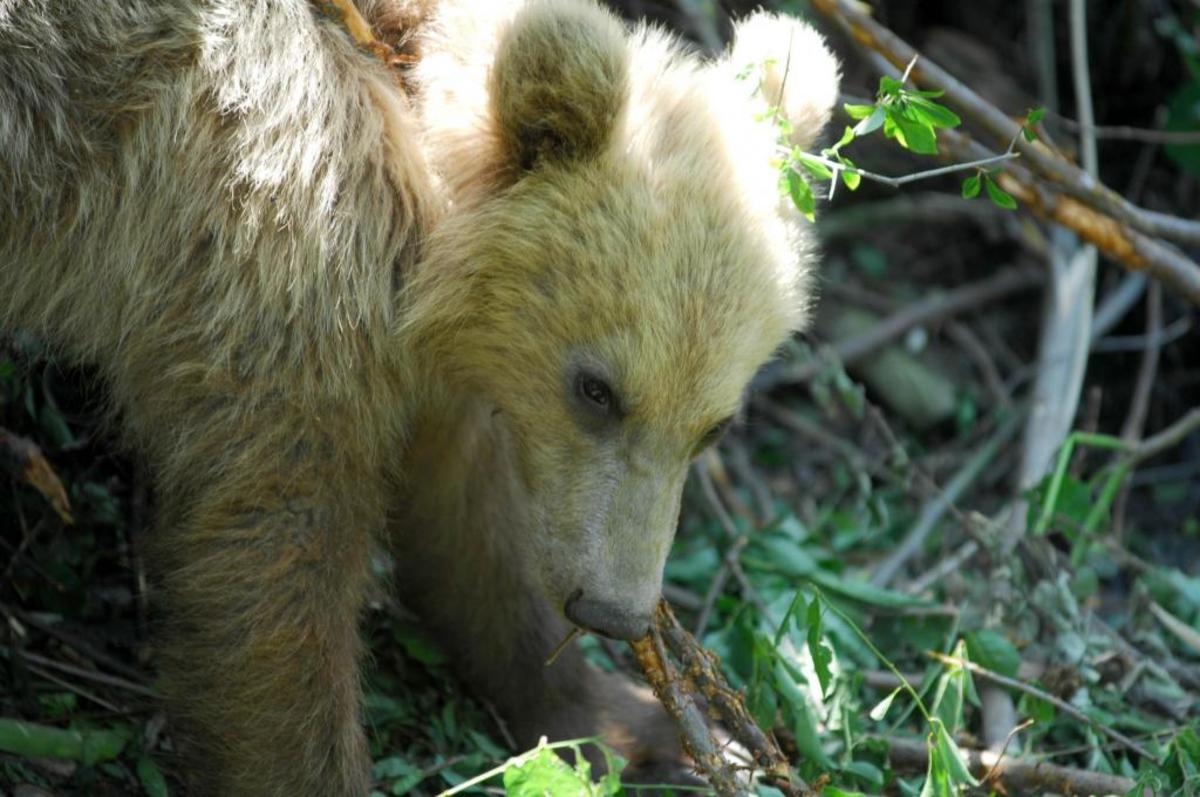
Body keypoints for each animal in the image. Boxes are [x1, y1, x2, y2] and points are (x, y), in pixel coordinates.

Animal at [0, 0, 840, 792]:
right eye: (597, 388)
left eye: (713, 426)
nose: (611, 609)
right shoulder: (269, 236)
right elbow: (275, 553)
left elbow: (469, 520)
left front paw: (631, 726)